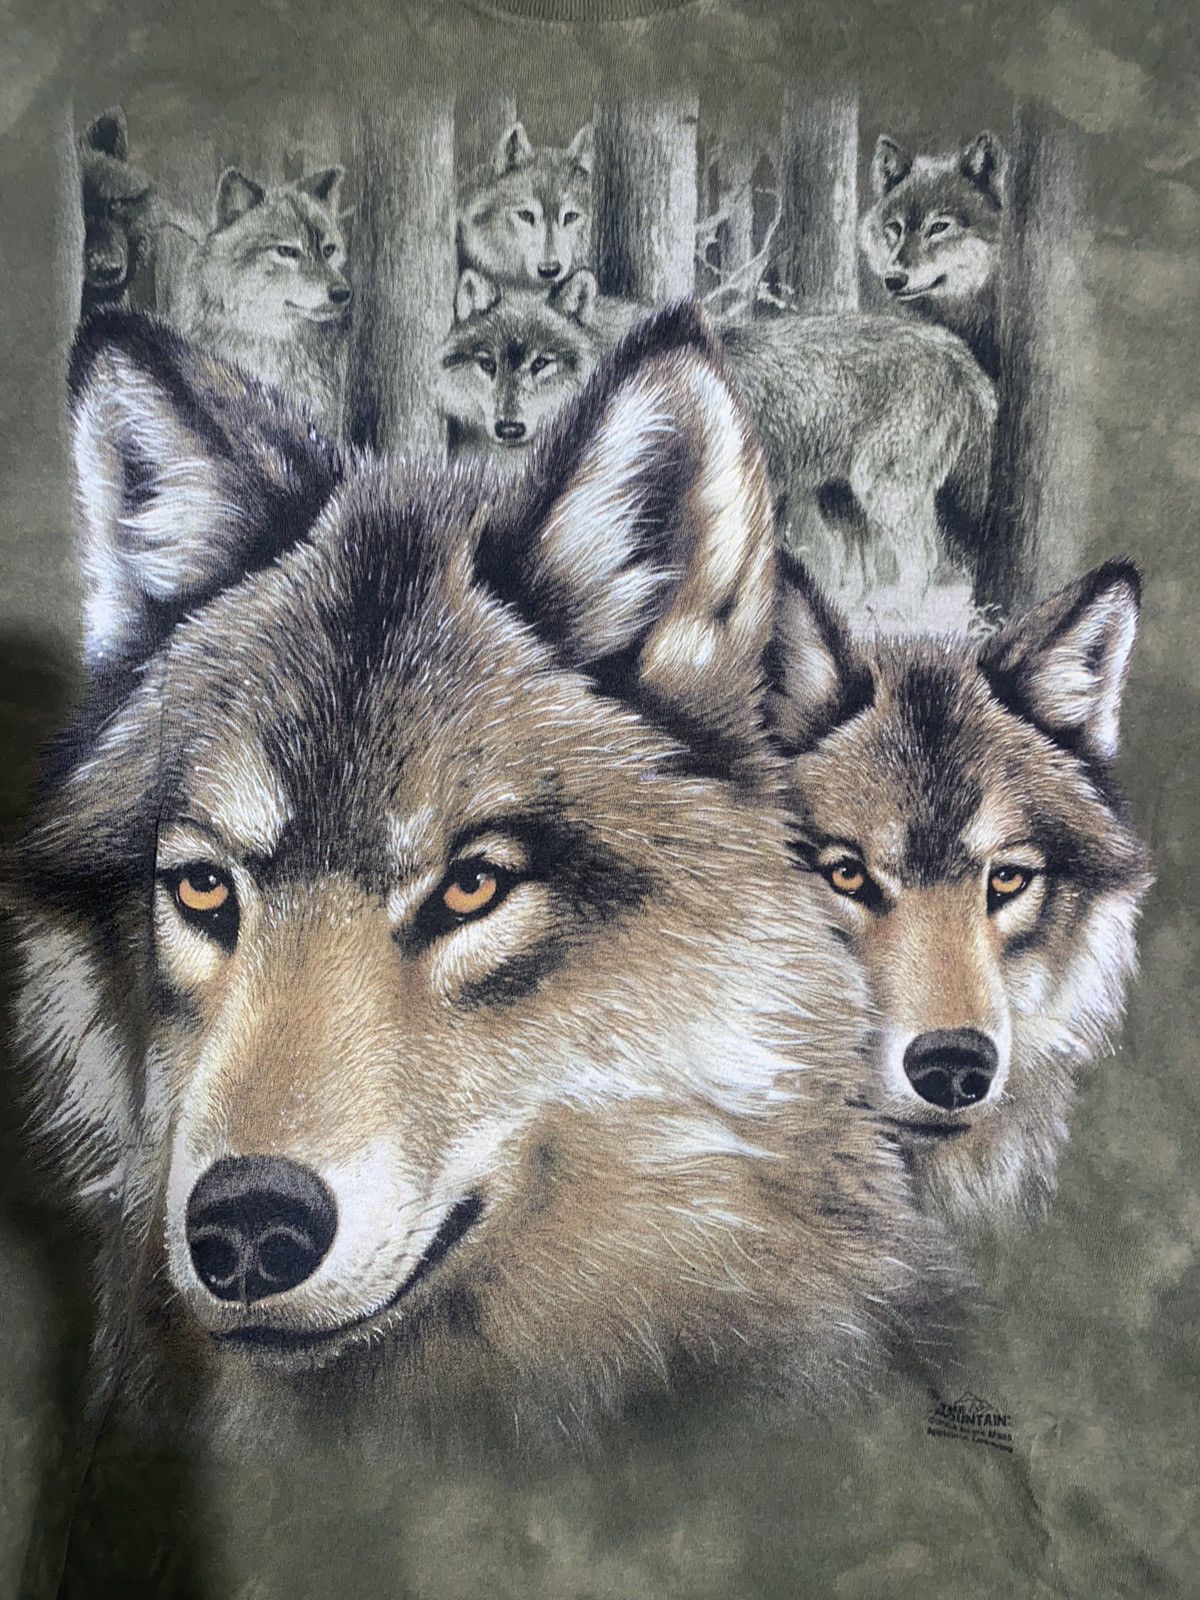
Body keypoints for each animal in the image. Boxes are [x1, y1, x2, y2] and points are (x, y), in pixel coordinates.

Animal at [439, 273, 996, 613]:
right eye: (487, 364)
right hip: (839, 498)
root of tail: (957, 352)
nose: (508, 429)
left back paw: (902, 615)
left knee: (923, 555)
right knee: (859, 567)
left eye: (542, 364)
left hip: (882, 491)